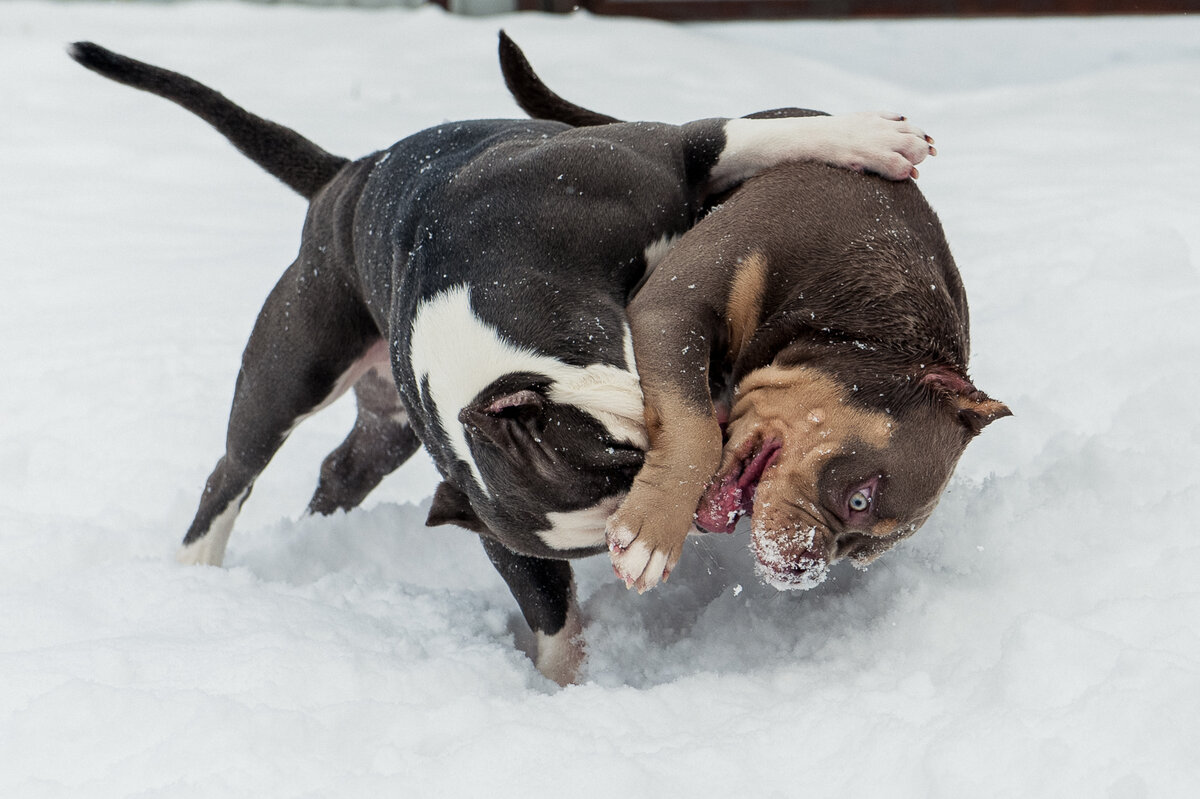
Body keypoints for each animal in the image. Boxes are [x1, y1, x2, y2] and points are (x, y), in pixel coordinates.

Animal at [499, 34, 1012, 587]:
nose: (801, 576)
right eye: (859, 500)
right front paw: (653, 532)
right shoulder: (672, 306)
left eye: (857, 554)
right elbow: (696, 428)